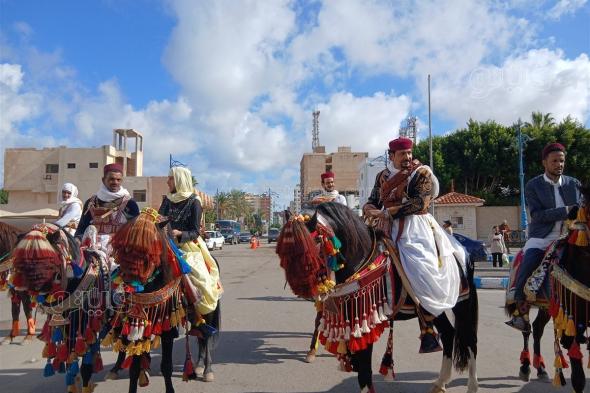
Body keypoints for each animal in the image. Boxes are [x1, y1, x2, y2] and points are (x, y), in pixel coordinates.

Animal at [10, 224, 111, 392]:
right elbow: (71, 360)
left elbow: (86, 364)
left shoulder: (88, 327)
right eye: (22, 258)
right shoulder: (66, 328)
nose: (20, 288)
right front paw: (74, 385)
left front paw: (85, 386)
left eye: (47, 258)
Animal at [278, 202, 480, 392]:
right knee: (448, 334)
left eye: (310, 248)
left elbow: (364, 372)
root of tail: (461, 249)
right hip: (435, 307)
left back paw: (471, 386)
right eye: (284, 253)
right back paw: (440, 383)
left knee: (469, 340)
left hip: (462, 303)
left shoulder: (364, 323)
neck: (362, 261)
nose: (302, 289)